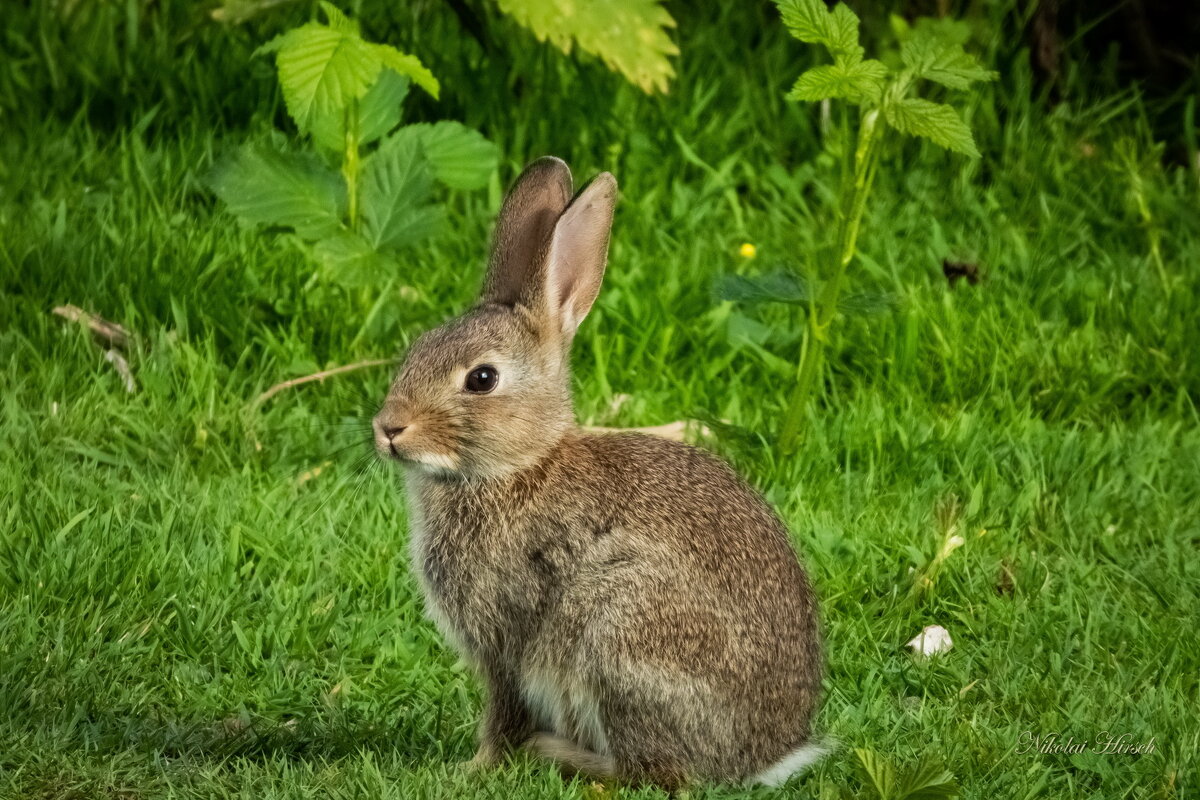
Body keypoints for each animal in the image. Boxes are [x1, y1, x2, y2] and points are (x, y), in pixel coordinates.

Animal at [372, 155, 825, 786]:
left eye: (481, 379)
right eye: (415, 351)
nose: (389, 428)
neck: (519, 467)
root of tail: (764, 758)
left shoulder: (505, 644)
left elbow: (503, 713)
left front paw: (474, 768)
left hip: (621, 634)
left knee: (652, 772)